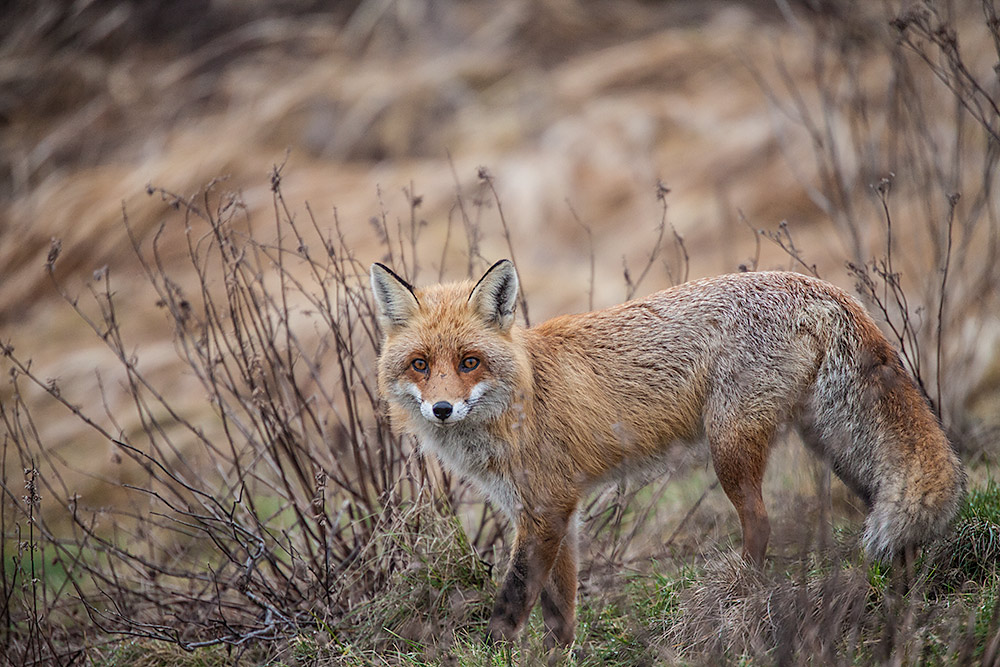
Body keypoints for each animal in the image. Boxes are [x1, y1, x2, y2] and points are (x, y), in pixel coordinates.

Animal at [372, 258, 964, 648]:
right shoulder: (558, 513)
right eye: (421, 364)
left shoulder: (543, 511)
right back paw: (898, 583)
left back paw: (738, 595)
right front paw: (557, 656)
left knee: (760, 522)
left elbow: (514, 596)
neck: (520, 399)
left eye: (469, 361)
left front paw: (494, 648)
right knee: (880, 505)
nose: (442, 409)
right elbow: (559, 609)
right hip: (833, 443)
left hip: (730, 446)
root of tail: (810, 283)